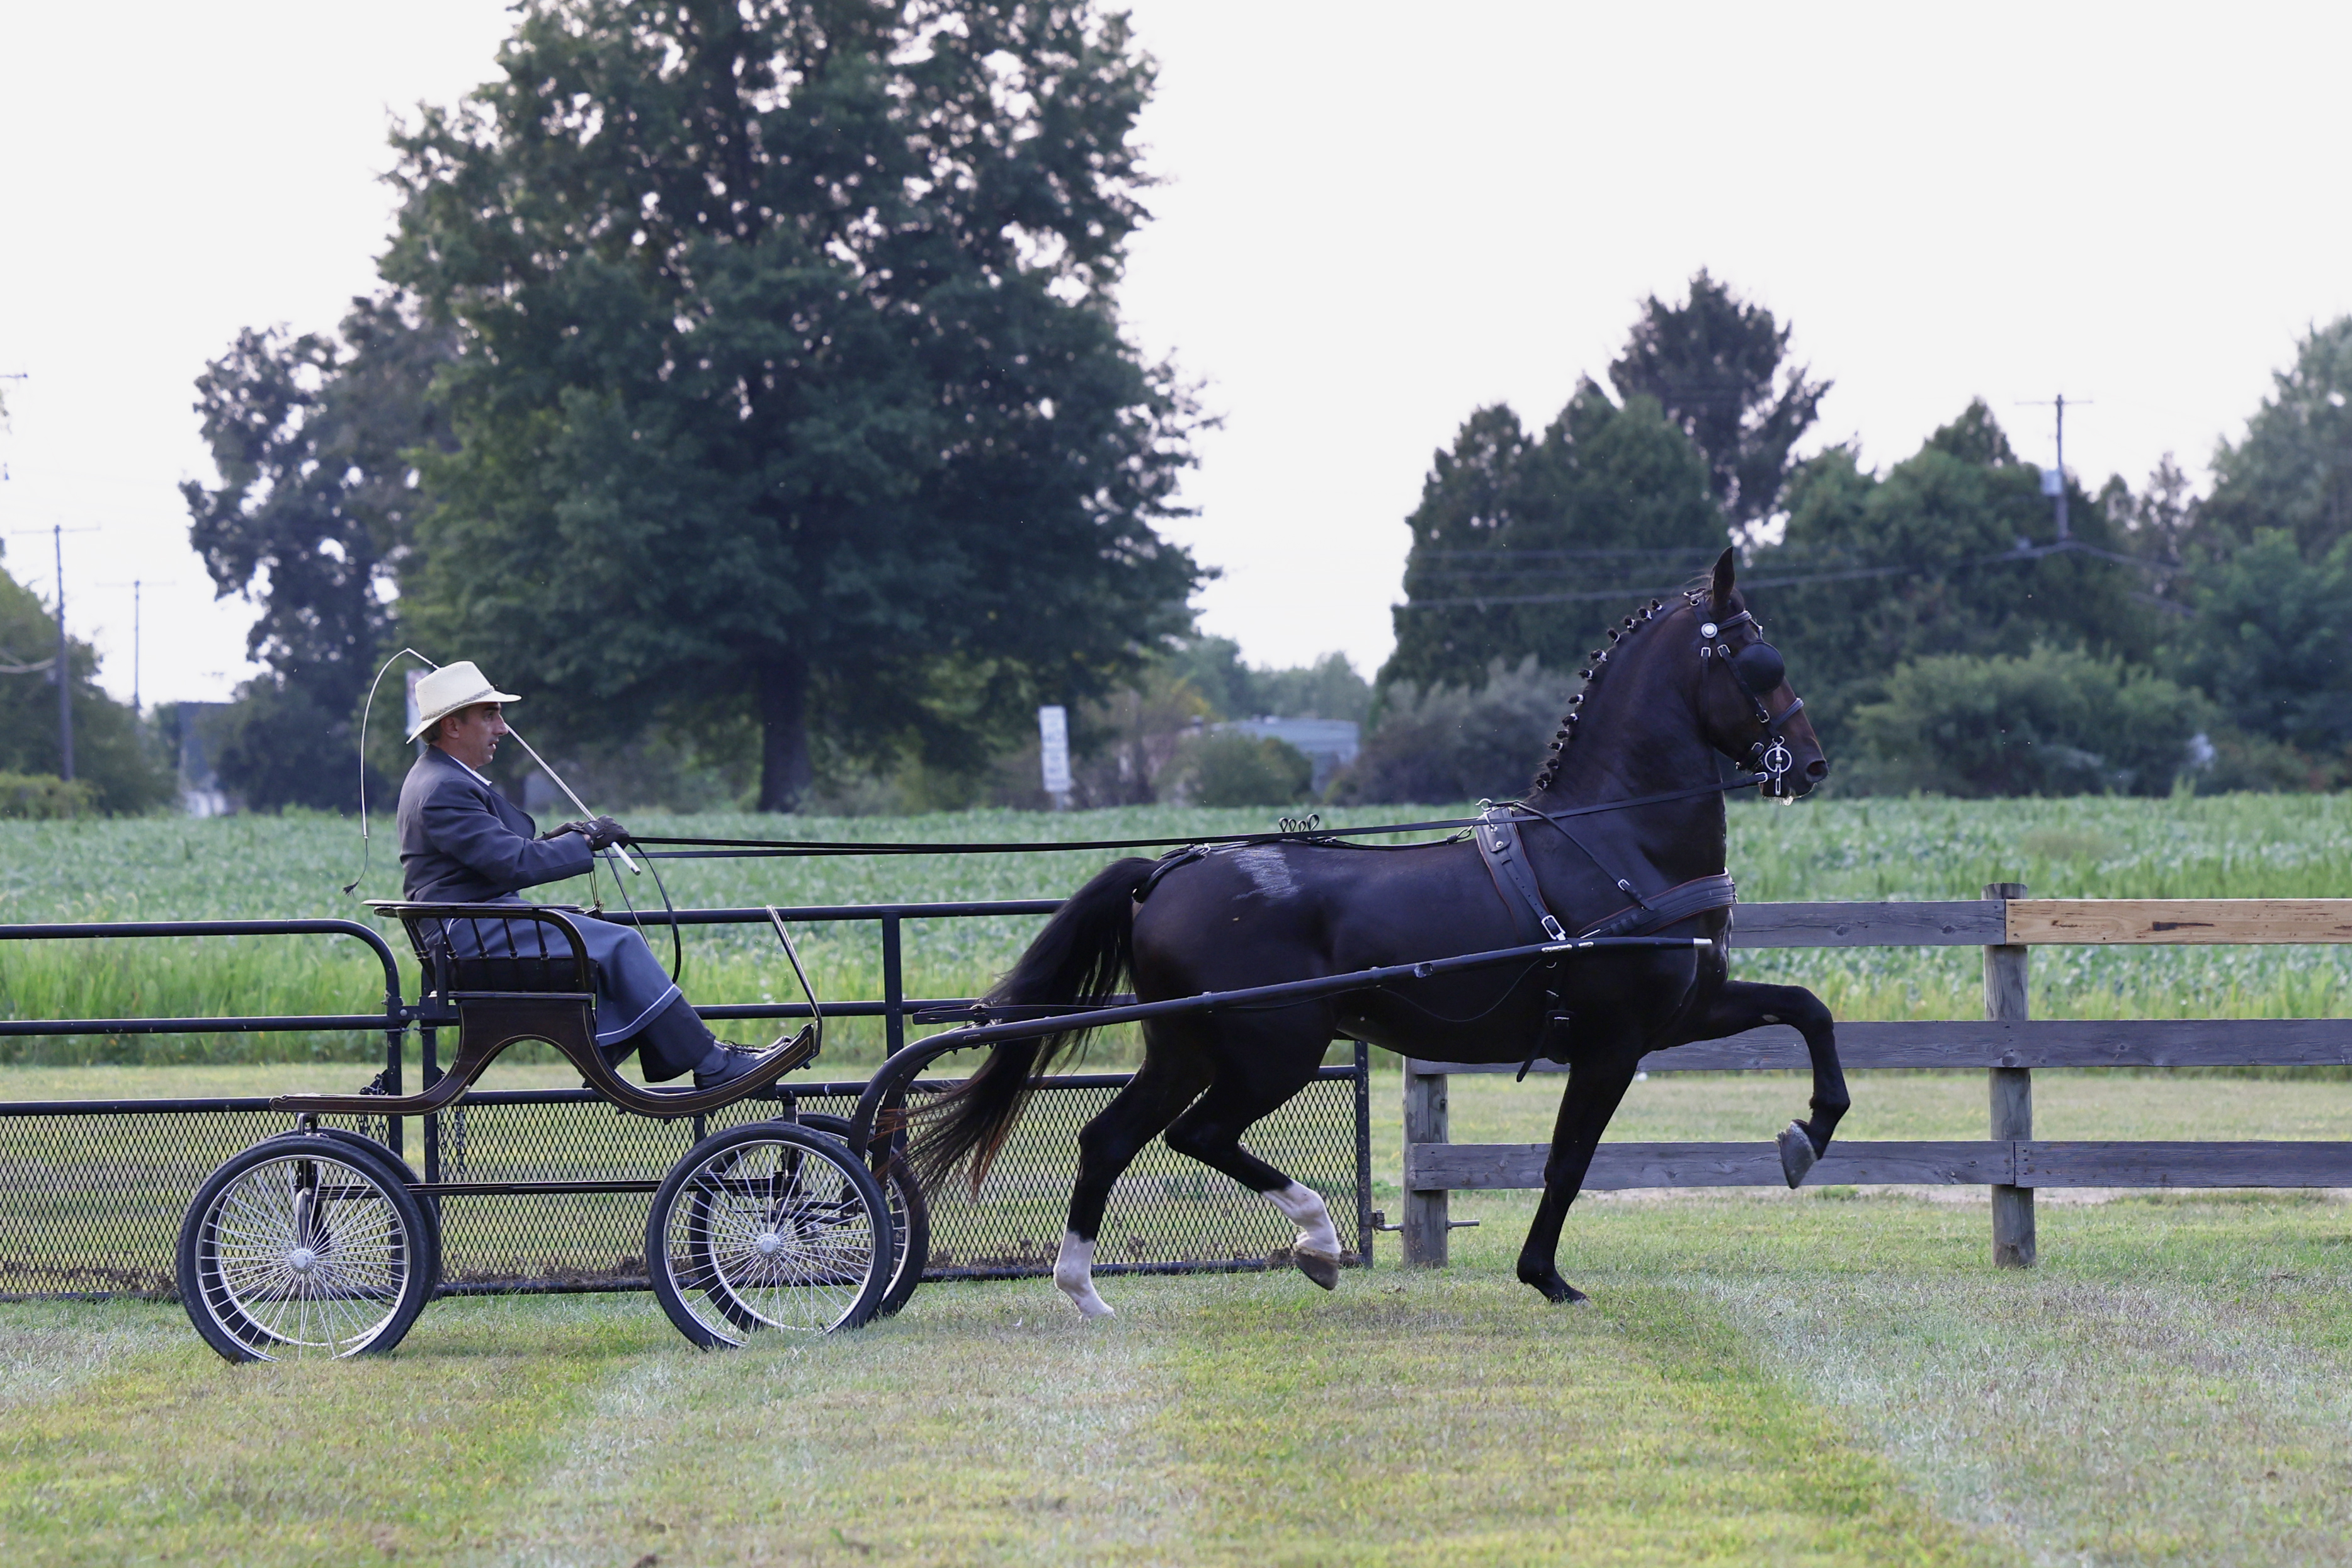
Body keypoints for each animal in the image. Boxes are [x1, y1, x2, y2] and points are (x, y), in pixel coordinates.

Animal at [910, 548, 1844, 1315]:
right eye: (1758, 659)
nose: (1809, 763)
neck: (1613, 843)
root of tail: (1166, 875)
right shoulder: (1613, 1041)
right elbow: (1568, 1158)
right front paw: (1546, 1276)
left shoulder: (1683, 1013)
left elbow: (1807, 1008)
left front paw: (1806, 1137)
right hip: (1274, 1050)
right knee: (1198, 1135)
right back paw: (1319, 1241)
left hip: (1183, 1048)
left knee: (1108, 1137)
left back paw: (1085, 1290)